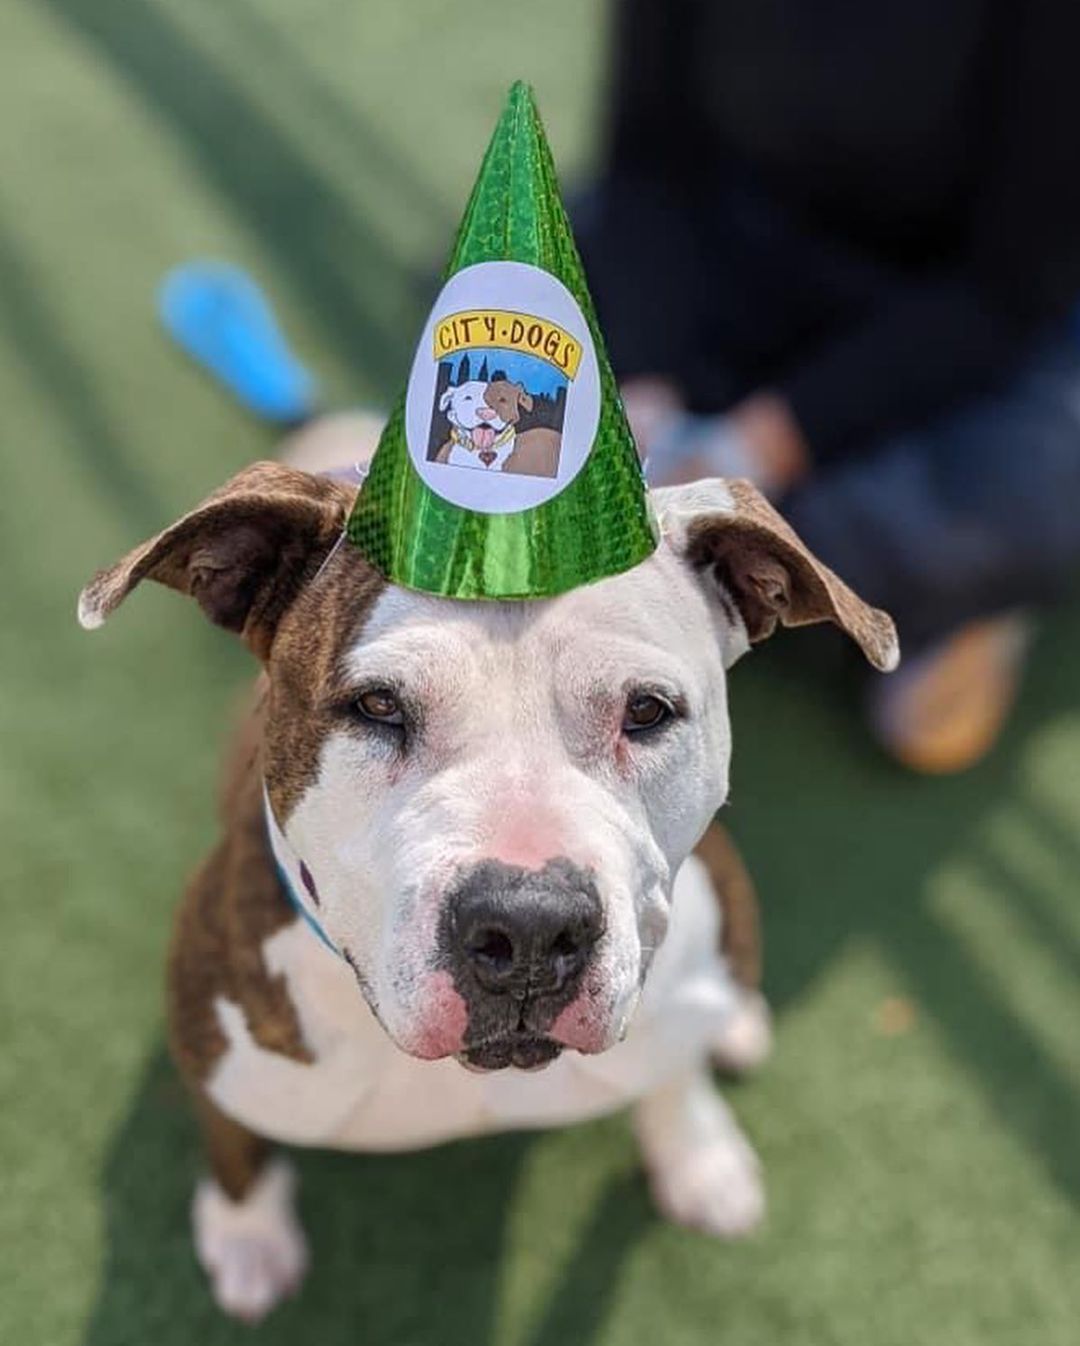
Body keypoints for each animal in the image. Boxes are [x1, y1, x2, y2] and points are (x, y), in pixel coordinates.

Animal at [77, 446, 894, 1319]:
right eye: (376, 705)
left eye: (647, 711)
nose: (530, 928)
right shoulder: (217, 1047)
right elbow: (233, 1143)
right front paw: (248, 1234)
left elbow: (676, 1074)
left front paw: (699, 1157)